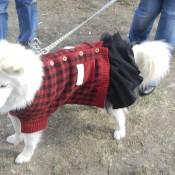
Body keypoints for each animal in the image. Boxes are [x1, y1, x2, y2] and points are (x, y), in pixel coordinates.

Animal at [0, 38, 171, 164]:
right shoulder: (17, 113)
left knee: (120, 117)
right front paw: (16, 139)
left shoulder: (34, 118)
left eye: (3, 85)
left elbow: (29, 142)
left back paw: (120, 132)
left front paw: (25, 156)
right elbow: (17, 129)